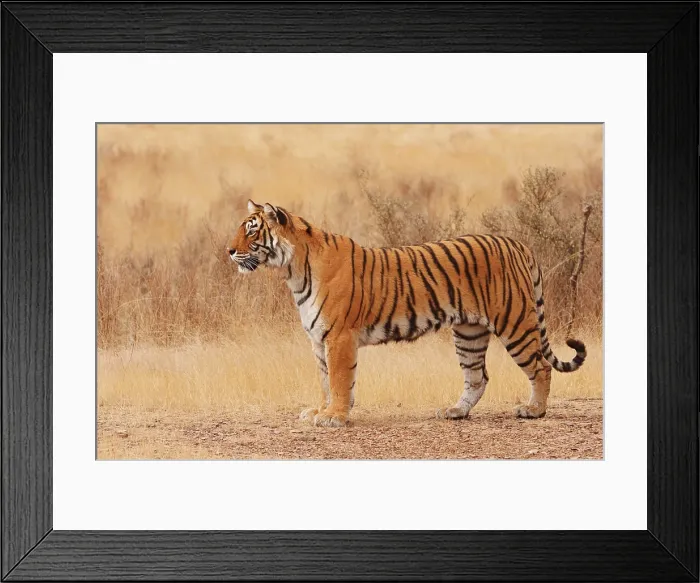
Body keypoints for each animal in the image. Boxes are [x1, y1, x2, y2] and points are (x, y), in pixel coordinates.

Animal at [228, 199, 587, 428]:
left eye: (252, 230)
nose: (228, 251)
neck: (293, 270)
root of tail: (517, 243)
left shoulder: (339, 337)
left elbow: (340, 380)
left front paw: (334, 416)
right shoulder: (319, 340)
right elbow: (325, 380)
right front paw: (320, 410)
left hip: (514, 322)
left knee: (540, 367)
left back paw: (534, 410)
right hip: (469, 332)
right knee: (477, 377)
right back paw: (456, 411)